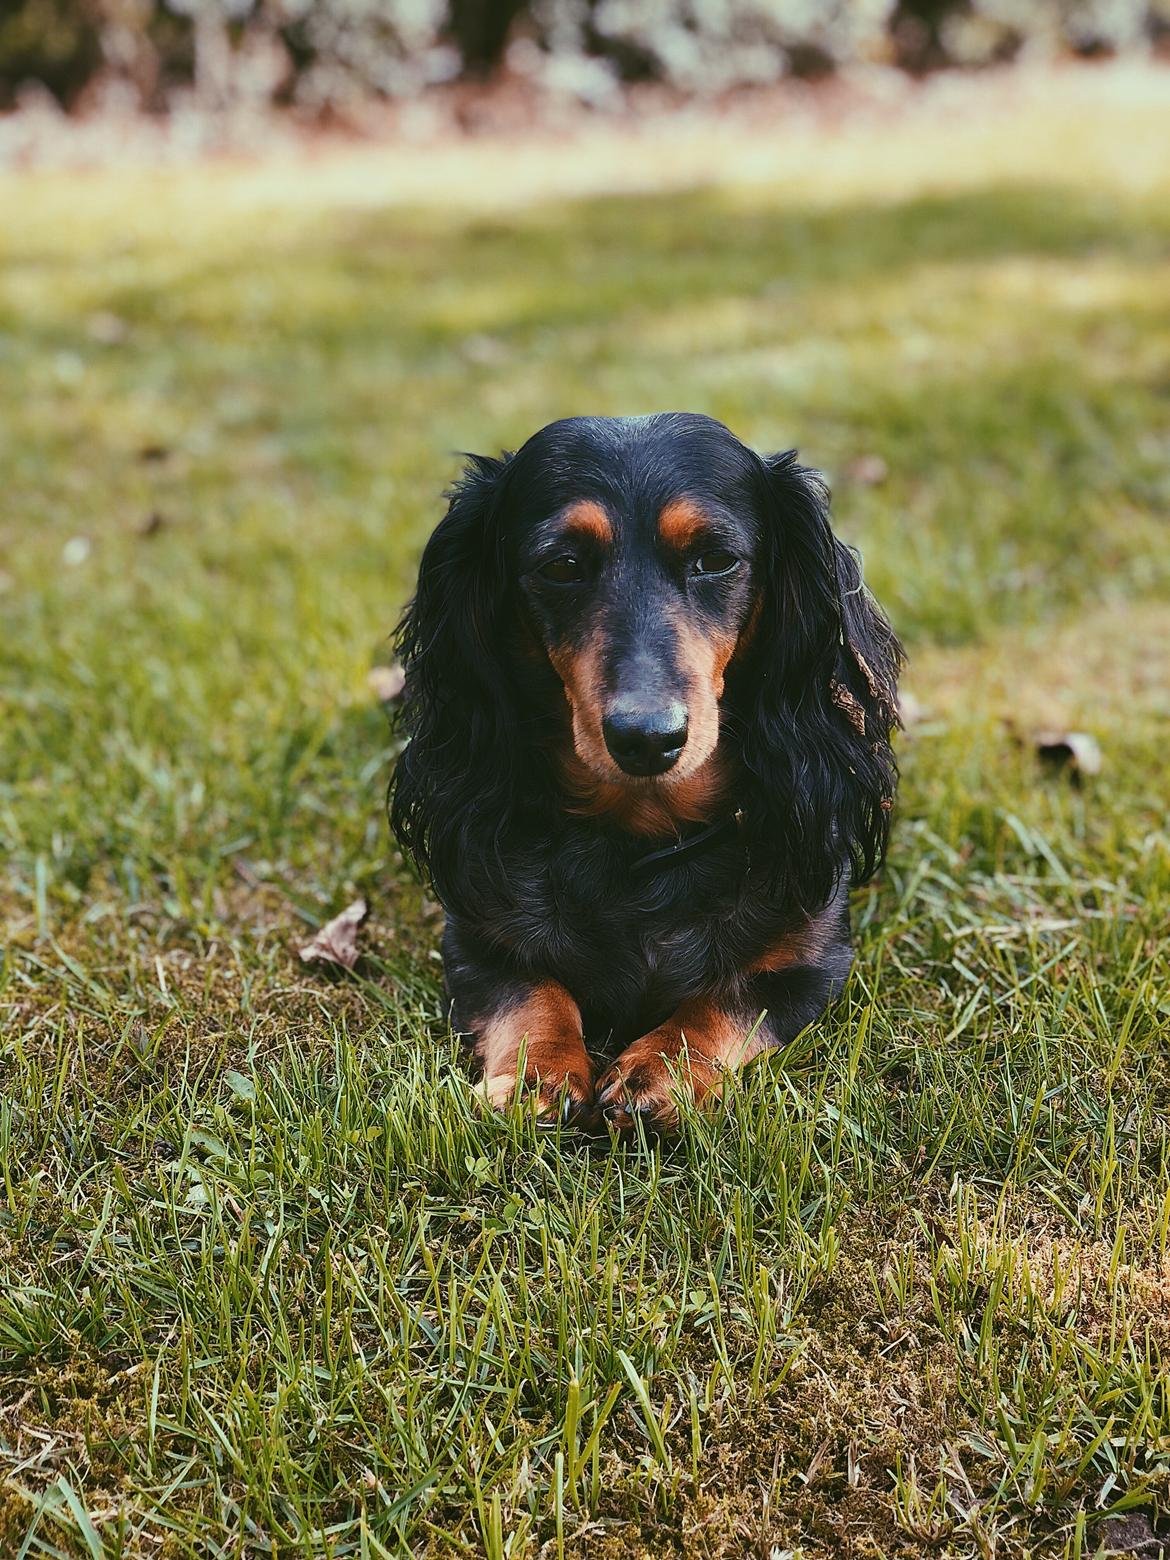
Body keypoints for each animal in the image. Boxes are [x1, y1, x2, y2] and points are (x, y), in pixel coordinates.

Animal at [390, 414, 904, 1135]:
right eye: (561, 566)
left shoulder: (812, 961)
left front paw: (660, 1069)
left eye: (715, 559)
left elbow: (729, 997)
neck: (643, 840)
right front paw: (539, 1073)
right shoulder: (476, 940)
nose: (648, 738)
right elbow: (532, 991)